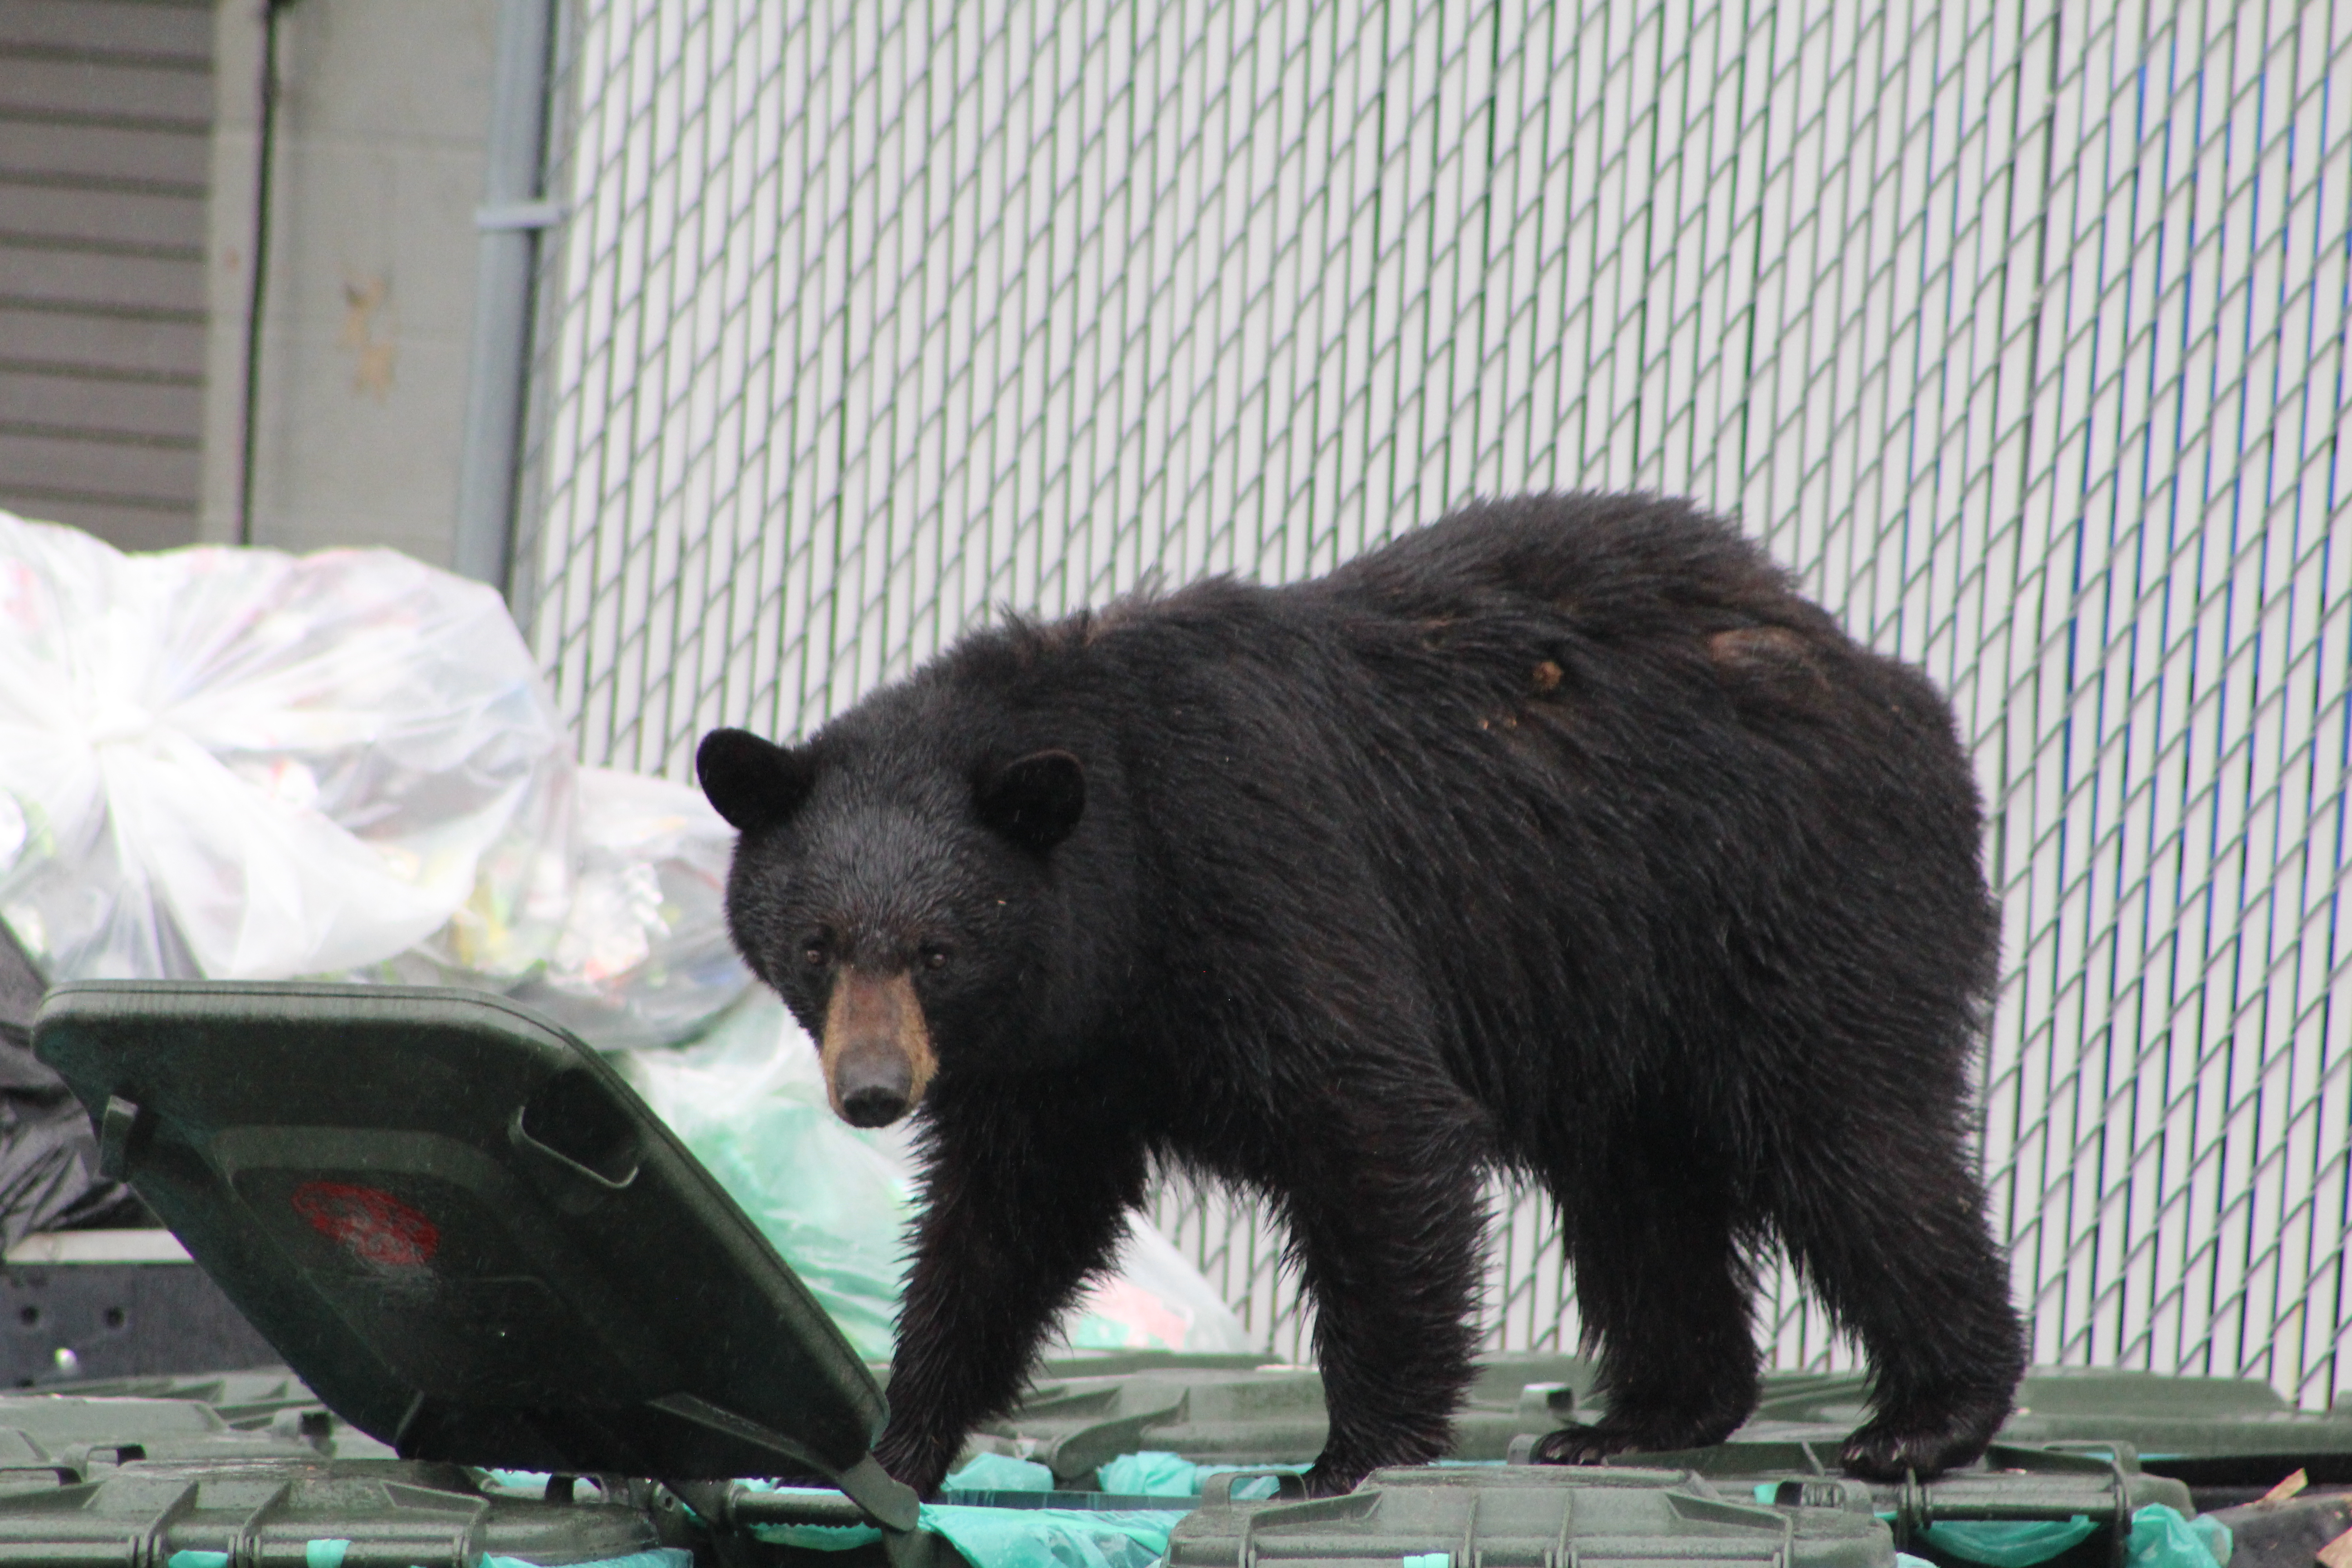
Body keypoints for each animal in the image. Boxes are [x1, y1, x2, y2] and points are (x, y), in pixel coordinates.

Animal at [696, 491, 2027, 1499]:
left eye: (936, 950)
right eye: (817, 944)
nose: (872, 1092)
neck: (1120, 885)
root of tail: (1883, 675)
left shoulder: (1256, 872)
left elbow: (1372, 1119)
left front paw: (1351, 1458)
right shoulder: (1057, 1058)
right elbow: (1002, 1225)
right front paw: (896, 1443)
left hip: (1783, 897)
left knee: (1850, 1141)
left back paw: (1929, 1413)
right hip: (1616, 997)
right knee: (1639, 1191)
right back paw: (1636, 1418)